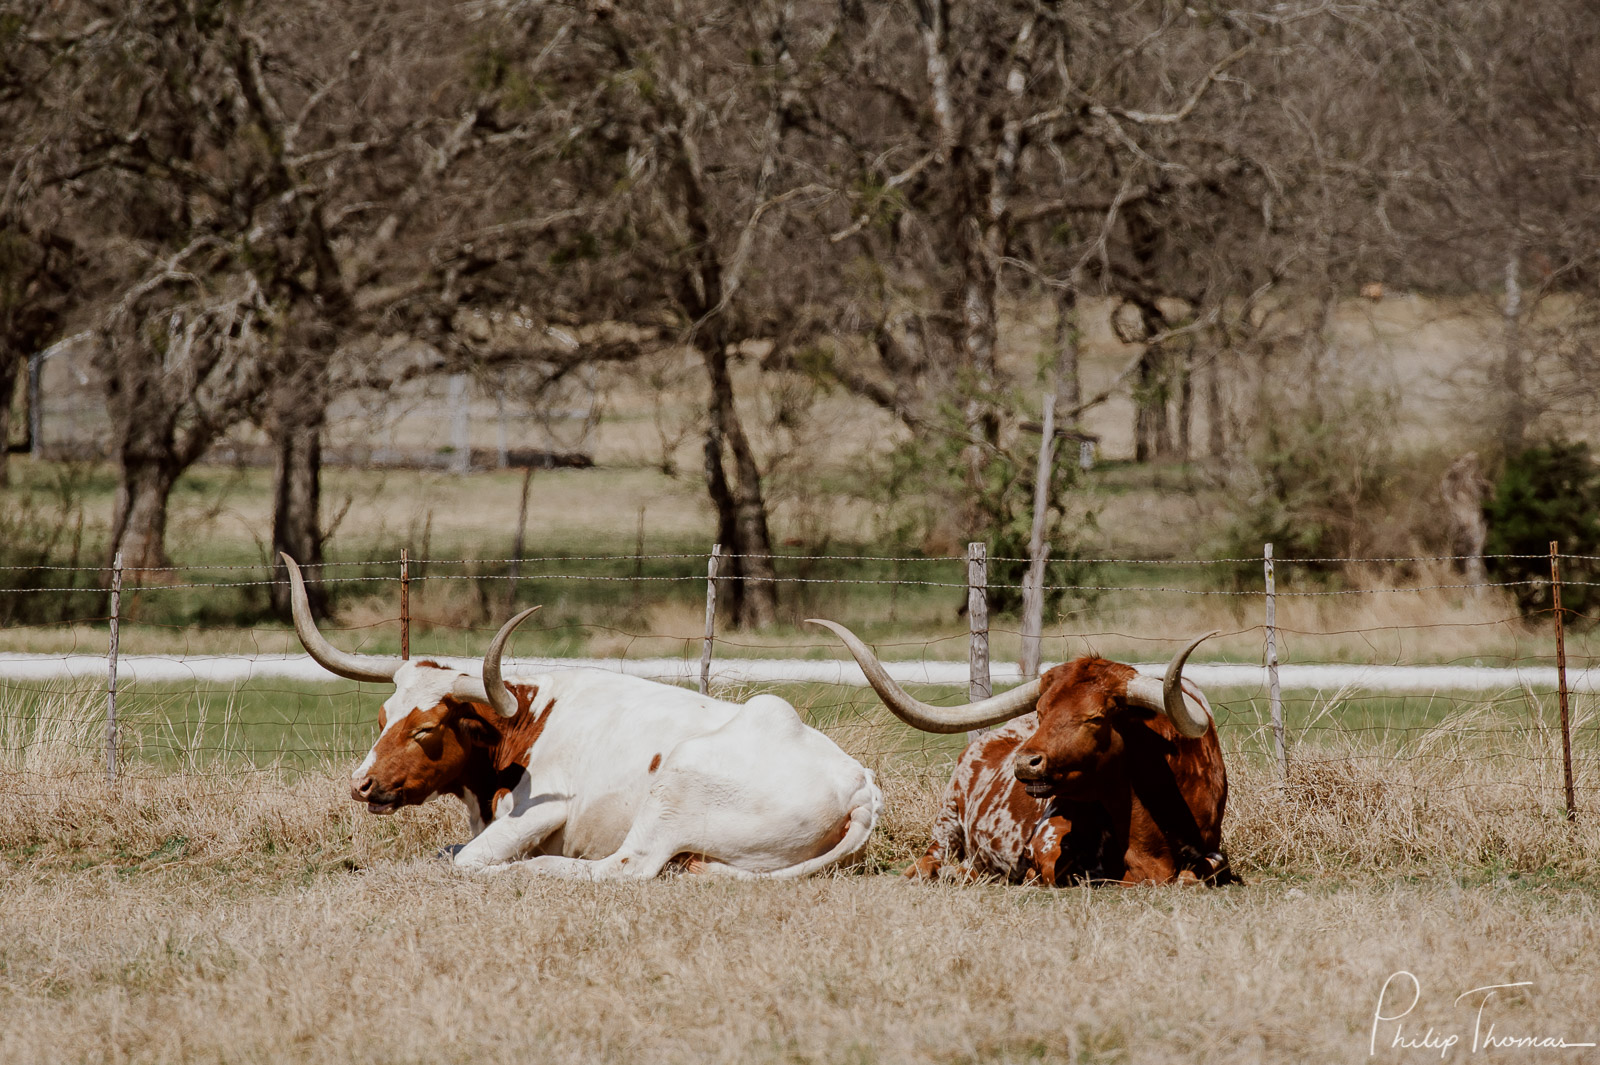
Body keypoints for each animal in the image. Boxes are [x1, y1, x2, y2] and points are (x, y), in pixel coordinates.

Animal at [812, 617, 1235, 882]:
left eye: (1096, 718)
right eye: (1041, 711)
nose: (1026, 763)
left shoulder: (1211, 853)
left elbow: (1199, 873)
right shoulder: (1049, 847)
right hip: (946, 821)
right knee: (931, 860)